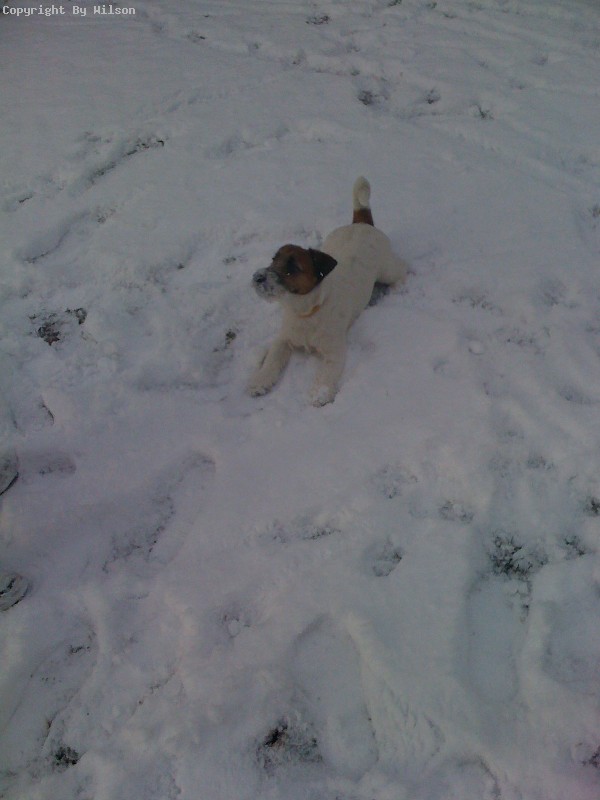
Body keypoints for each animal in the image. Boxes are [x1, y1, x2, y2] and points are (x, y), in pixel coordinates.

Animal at [248, 177, 407, 406]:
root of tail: (361, 223)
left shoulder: (335, 351)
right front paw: (259, 381)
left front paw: (319, 393)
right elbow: (272, 359)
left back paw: (401, 286)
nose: (257, 277)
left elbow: (326, 373)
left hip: (387, 269)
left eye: (292, 267)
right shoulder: (283, 339)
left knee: (402, 267)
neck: (306, 312)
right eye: (273, 259)